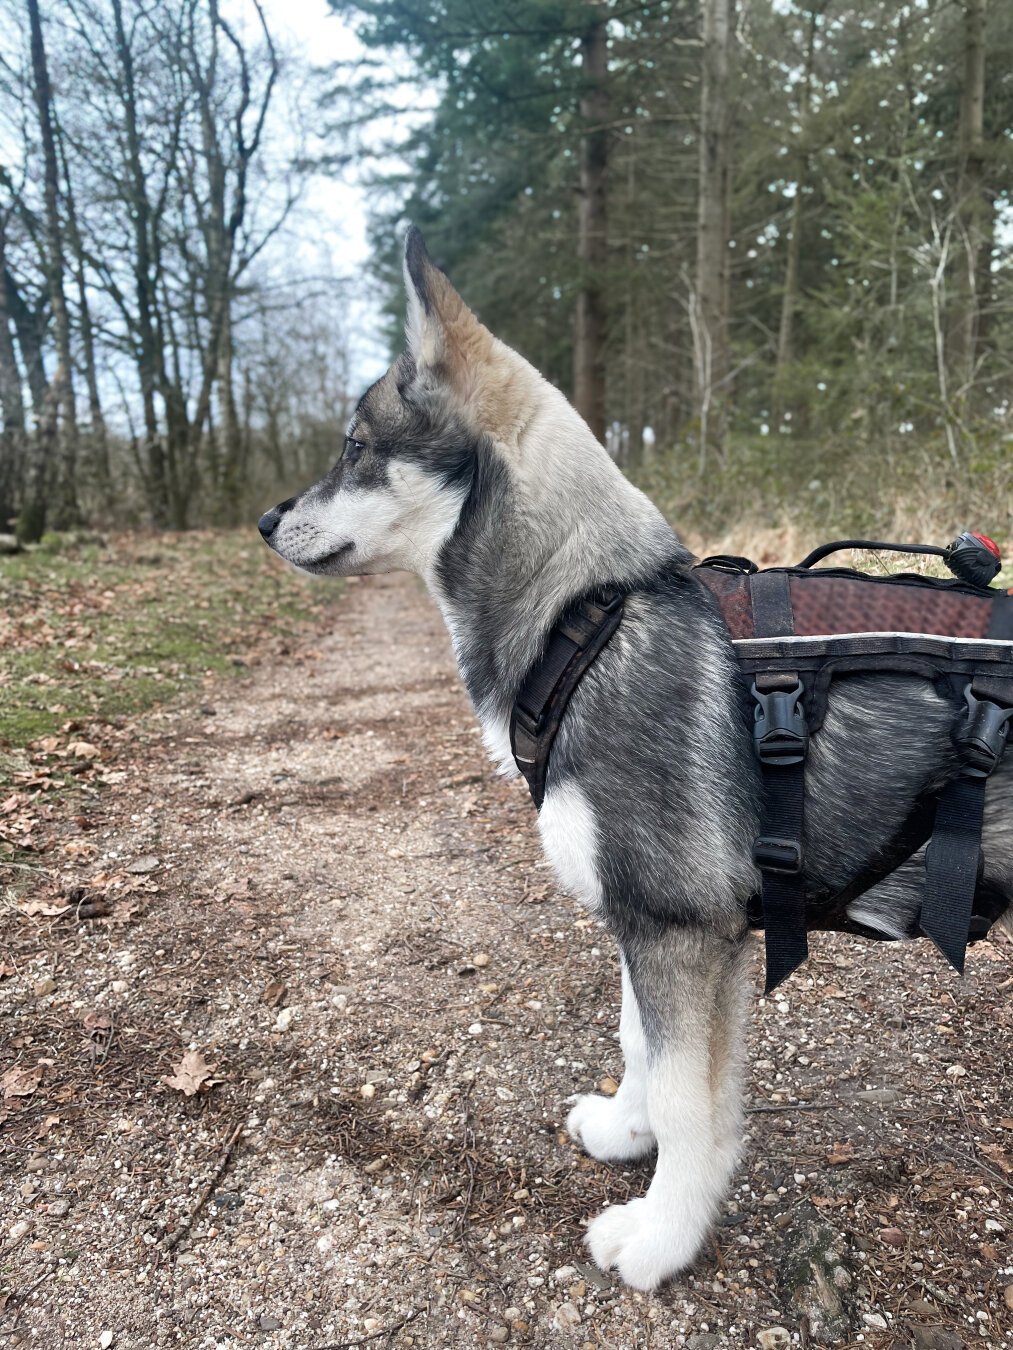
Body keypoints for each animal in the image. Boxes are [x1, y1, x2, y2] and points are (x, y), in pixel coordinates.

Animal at [262, 224, 1013, 1285]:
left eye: (356, 449)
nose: (264, 520)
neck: (586, 620)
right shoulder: (653, 923)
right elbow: (642, 1053)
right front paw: (627, 1130)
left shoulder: (680, 930)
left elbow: (690, 1105)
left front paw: (662, 1235)